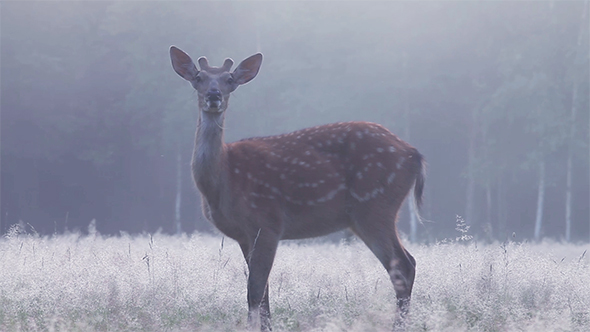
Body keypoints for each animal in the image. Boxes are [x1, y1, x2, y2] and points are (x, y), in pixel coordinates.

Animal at [170, 46, 426, 330]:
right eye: (199, 77)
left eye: (229, 79)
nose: (214, 96)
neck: (223, 180)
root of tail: (414, 155)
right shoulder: (244, 236)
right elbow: (263, 294)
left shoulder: (267, 223)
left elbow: (254, 291)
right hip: (368, 214)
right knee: (407, 263)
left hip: (375, 206)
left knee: (403, 266)